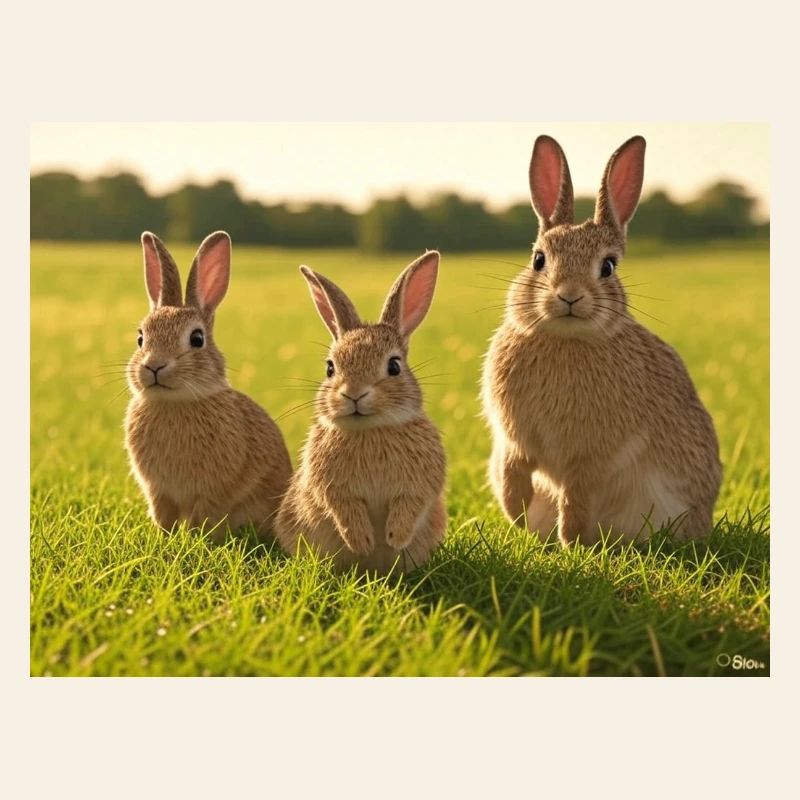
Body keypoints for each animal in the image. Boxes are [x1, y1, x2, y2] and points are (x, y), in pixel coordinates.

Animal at [124, 231, 292, 542]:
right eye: (141, 338)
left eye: (197, 339)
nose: (154, 366)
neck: (174, 402)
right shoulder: (158, 491)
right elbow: (163, 517)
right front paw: (163, 539)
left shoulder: (211, 492)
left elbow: (200, 517)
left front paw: (192, 541)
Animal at [274, 251, 447, 574]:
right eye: (330, 368)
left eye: (394, 366)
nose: (353, 394)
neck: (371, 429)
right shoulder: (333, 488)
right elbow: (344, 509)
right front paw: (363, 542)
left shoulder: (419, 484)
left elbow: (410, 504)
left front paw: (394, 537)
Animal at [481, 135, 722, 545]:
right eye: (538, 260)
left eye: (608, 266)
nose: (569, 296)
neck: (565, 339)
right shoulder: (514, 441)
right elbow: (515, 471)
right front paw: (518, 514)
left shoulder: (593, 457)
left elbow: (576, 494)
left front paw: (570, 540)